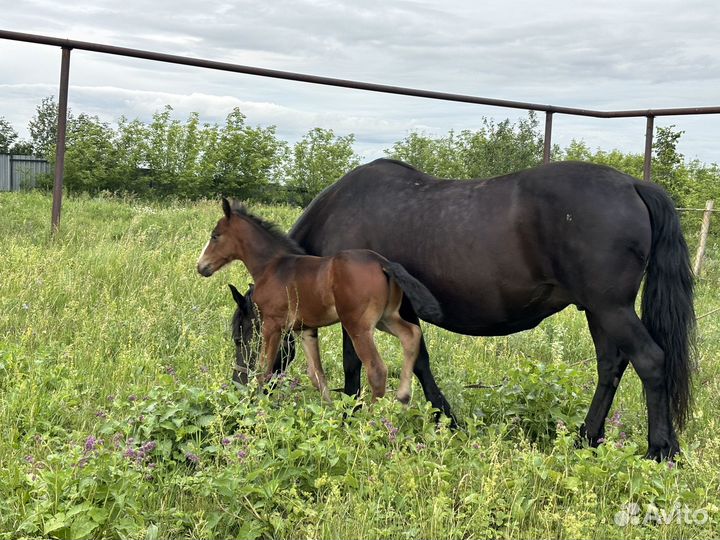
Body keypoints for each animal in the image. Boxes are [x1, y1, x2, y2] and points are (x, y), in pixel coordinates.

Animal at [198, 198, 444, 400]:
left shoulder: (272, 325)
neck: (272, 266)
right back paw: (403, 396)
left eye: (215, 236)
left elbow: (264, 370)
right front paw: (329, 411)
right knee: (411, 334)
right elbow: (317, 375)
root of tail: (383, 263)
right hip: (386, 318)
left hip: (359, 326)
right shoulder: (305, 329)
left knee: (377, 370)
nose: (201, 267)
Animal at [229, 160, 692, 460]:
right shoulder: (401, 310)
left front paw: (356, 414)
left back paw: (659, 450)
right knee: (611, 366)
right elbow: (419, 361)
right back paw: (586, 438)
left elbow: (356, 364)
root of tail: (633, 185)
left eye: (243, 334)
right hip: (598, 310)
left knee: (650, 360)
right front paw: (447, 420)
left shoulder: (356, 316)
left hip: (611, 308)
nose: (240, 391)